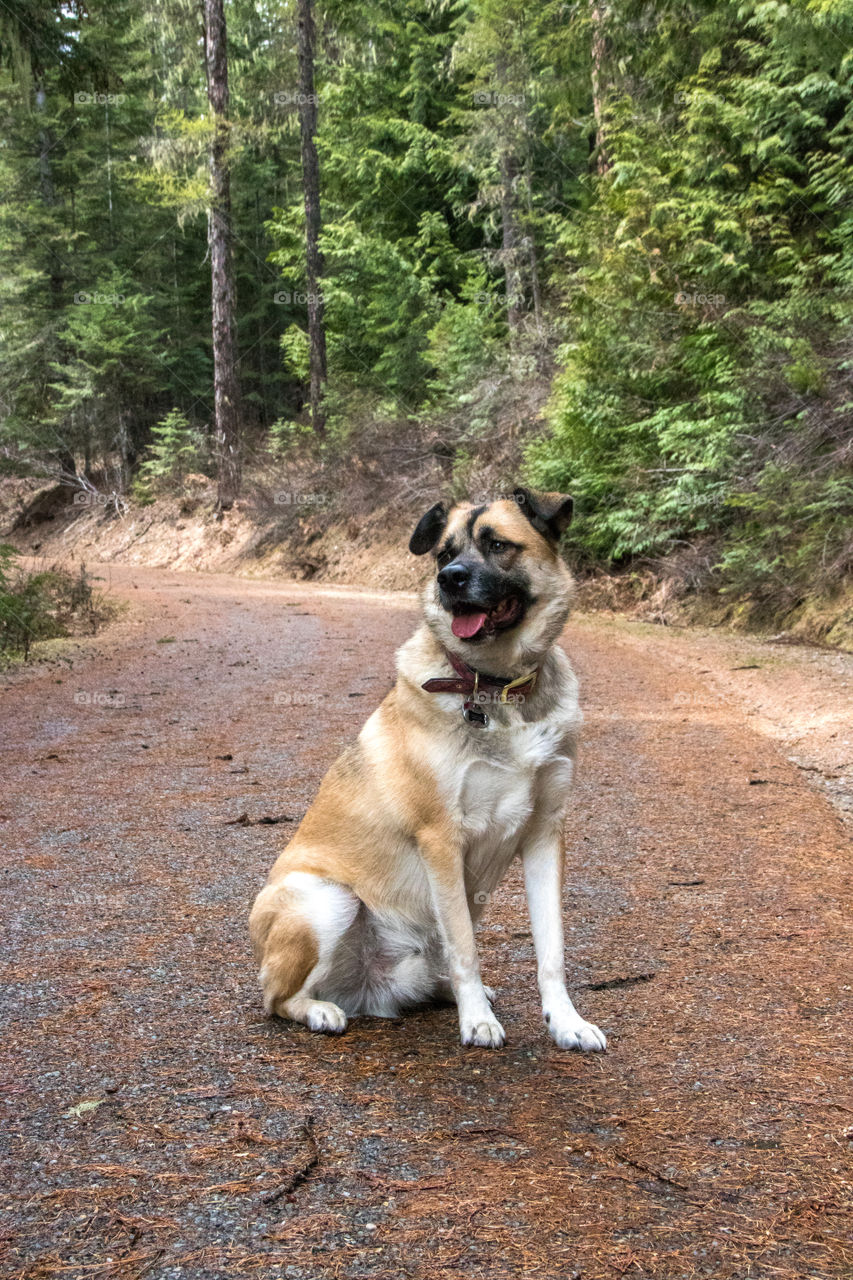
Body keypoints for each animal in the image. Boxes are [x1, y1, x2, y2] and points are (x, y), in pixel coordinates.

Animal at [247, 486, 604, 1049]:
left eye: (497, 544)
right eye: (443, 553)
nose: (449, 579)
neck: (495, 687)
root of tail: (367, 992)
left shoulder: (545, 835)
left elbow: (551, 950)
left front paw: (566, 1022)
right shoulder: (442, 840)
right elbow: (465, 949)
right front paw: (477, 1019)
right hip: (326, 900)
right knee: (276, 998)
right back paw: (321, 1010)